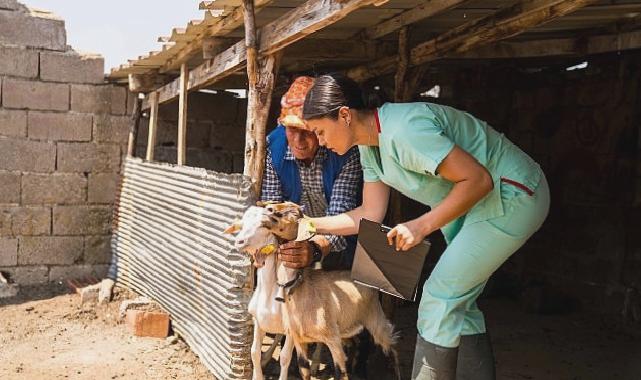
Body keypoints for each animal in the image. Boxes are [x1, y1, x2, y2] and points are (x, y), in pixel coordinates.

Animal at [224, 203, 400, 378]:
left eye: (261, 226)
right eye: (242, 224)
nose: (239, 241)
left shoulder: (293, 334)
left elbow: (285, 357)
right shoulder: (260, 323)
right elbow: (254, 352)